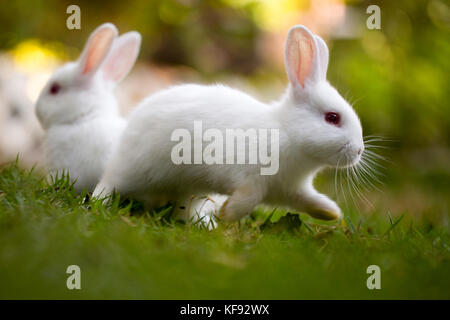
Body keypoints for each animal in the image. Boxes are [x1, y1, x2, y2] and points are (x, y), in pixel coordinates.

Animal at [95, 25, 366, 222]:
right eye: (332, 118)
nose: (359, 150)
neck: (287, 134)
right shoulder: (248, 177)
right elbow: (246, 199)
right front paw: (227, 214)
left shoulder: (290, 189)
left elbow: (309, 200)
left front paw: (332, 213)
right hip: (134, 170)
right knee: (109, 183)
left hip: (186, 189)